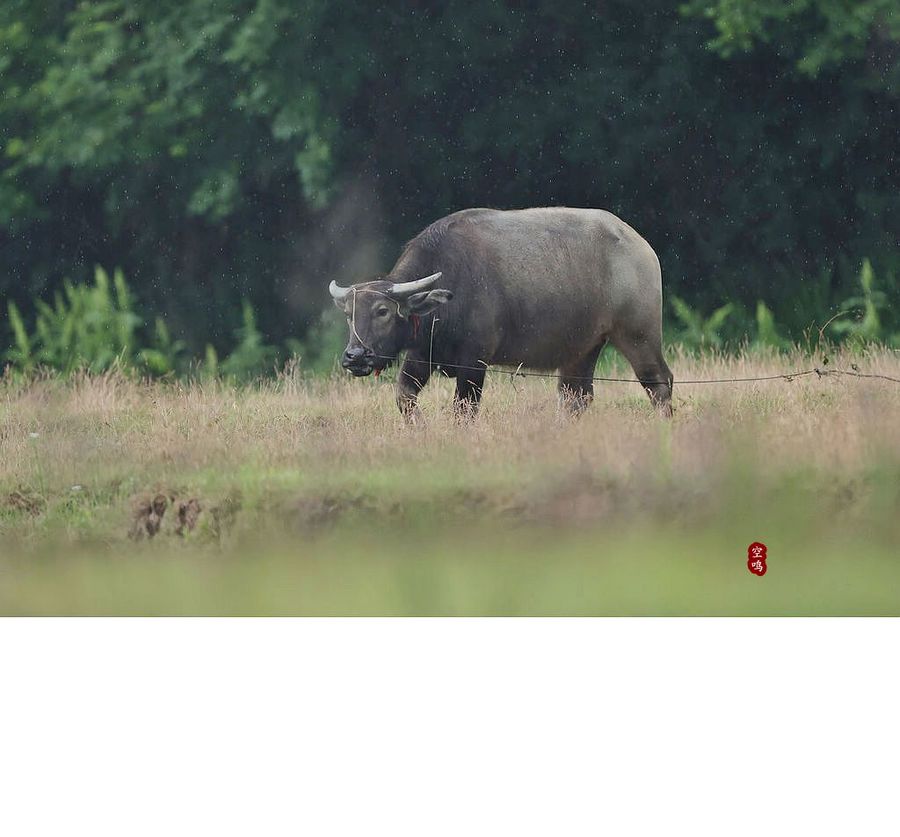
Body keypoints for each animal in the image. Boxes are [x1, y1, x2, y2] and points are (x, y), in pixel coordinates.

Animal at [326, 207, 672, 422]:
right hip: (582, 348)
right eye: (349, 314)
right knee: (576, 397)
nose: (355, 356)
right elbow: (404, 397)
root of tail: (640, 245)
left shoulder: (474, 362)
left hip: (637, 334)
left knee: (658, 382)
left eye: (382, 311)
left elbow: (463, 411)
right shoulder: (422, 354)